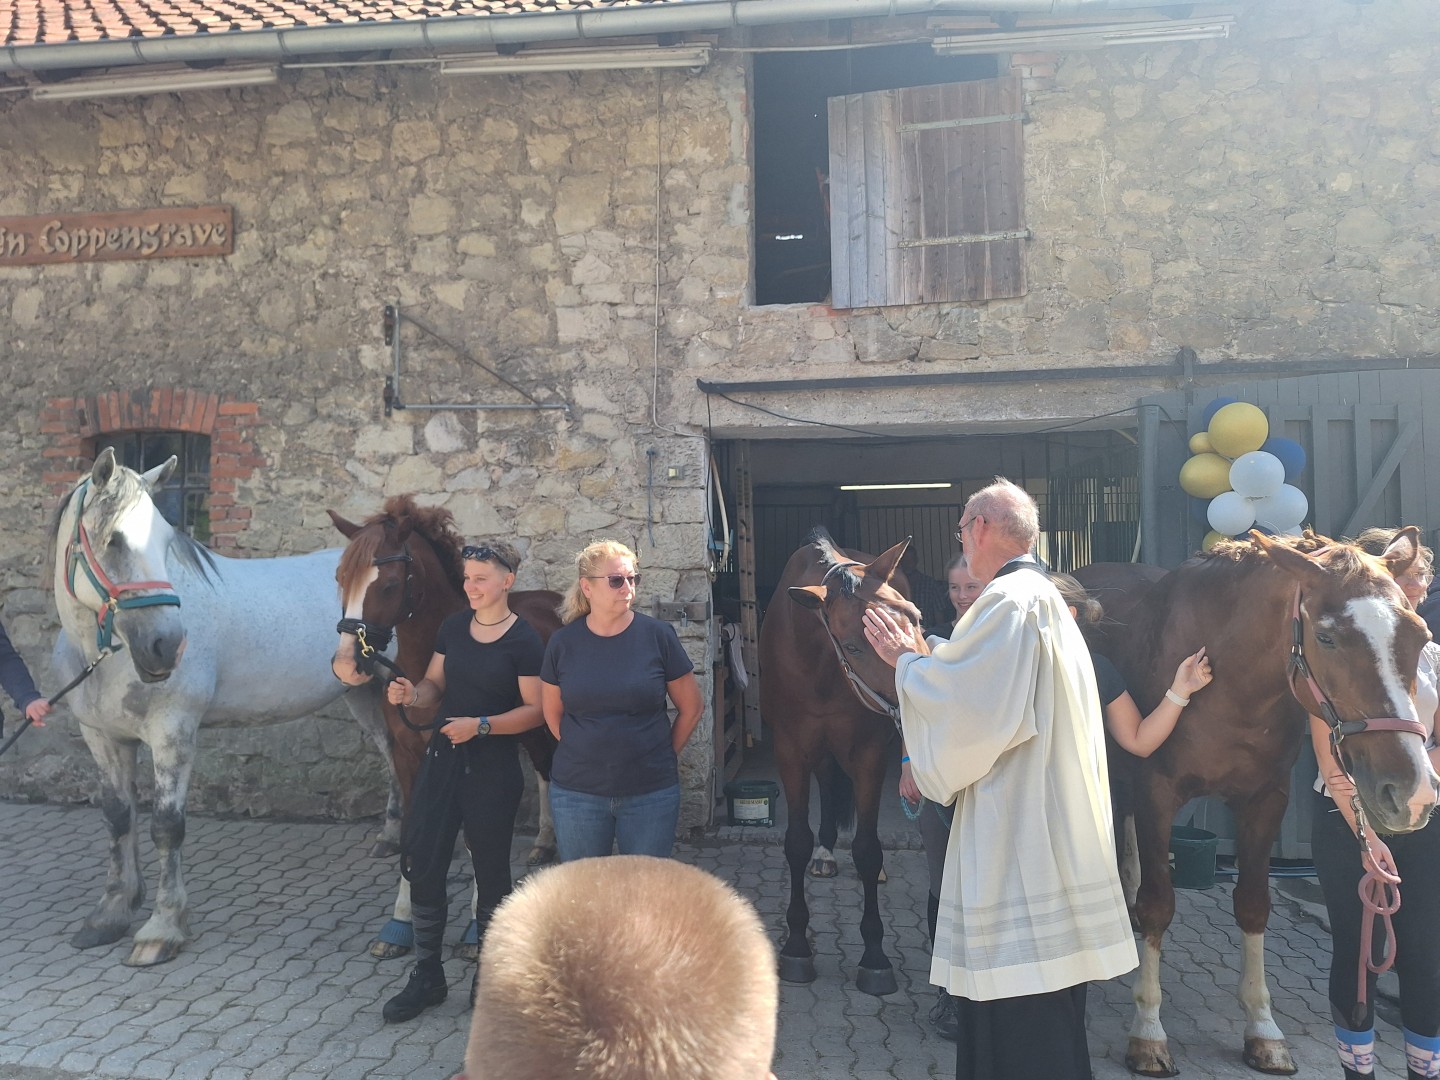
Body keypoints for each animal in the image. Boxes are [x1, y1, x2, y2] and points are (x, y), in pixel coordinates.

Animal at [53, 449, 397, 973]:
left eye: (167, 543)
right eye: (113, 540)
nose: (167, 646)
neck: (106, 655)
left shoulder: (172, 731)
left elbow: (166, 826)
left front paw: (162, 928)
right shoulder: (102, 735)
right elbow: (118, 817)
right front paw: (111, 912)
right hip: (364, 695)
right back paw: (391, 838)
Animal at [760, 527, 915, 996]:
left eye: (915, 618)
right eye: (853, 647)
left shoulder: (869, 753)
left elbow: (867, 849)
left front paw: (875, 955)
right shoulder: (790, 750)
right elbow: (796, 841)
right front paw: (796, 947)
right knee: (828, 787)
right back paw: (826, 852)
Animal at [1077, 529, 1434, 1077]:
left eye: (1417, 634)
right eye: (1327, 638)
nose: (1411, 792)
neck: (1231, 681)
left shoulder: (1267, 801)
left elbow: (1253, 905)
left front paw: (1263, 1029)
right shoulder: (1158, 791)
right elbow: (1160, 905)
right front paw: (1149, 1032)